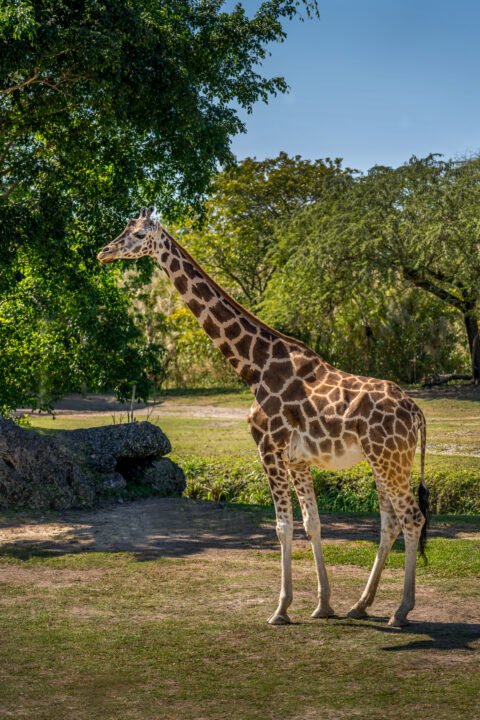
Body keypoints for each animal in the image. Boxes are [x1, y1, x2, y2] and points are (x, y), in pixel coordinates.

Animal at [98, 207, 429, 628]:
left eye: (139, 235)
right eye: (124, 229)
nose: (104, 253)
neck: (254, 366)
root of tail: (417, 413)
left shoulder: (268, 447)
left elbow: (283, 526)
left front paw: (281, 609)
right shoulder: (299, 459)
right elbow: (312, 524)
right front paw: (323, 605)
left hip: (390, 459)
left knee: (412, 518)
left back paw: (401, 611)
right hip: (384, 460)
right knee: (391, 522)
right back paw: (361, 604)